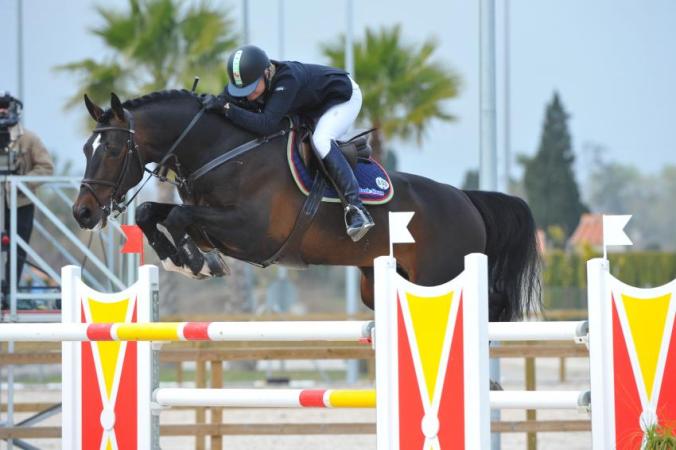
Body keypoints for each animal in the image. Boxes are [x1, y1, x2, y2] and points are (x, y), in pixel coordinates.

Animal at [72, 90, 541, 322]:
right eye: (85, 148)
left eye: (111, 150)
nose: (83, 213)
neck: (224, 150)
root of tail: (466, 200)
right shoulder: (218, 225)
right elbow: (153, 214)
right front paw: (186, 260)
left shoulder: (251, 233)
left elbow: (180, 216)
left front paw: (196, 262)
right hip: (380, 282)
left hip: (440, 275)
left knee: (491, 302)